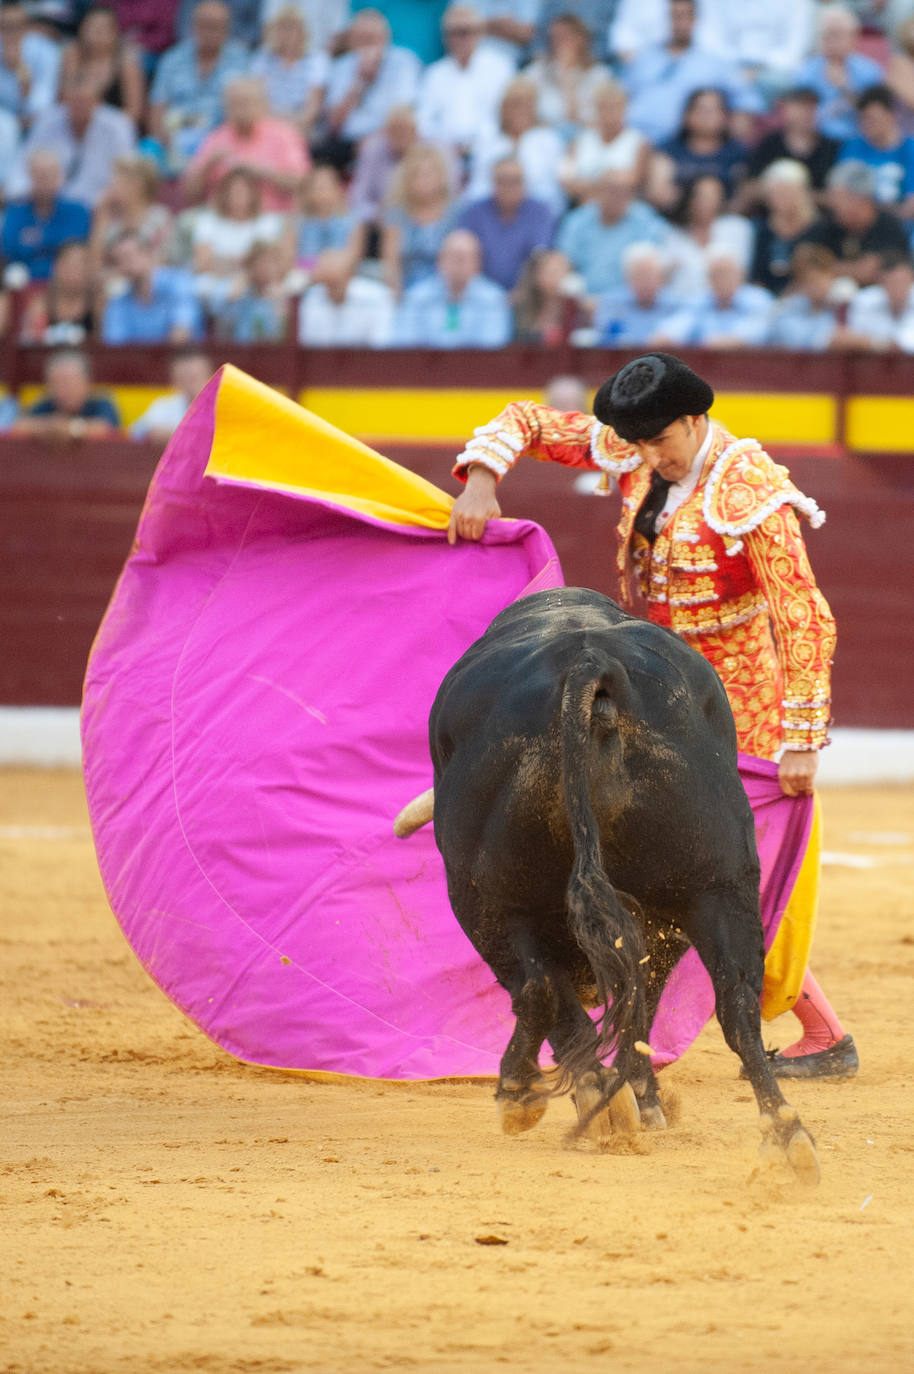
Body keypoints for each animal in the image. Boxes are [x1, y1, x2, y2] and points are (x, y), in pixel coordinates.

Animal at [395, 588, 813, 1181]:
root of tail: (588, 662)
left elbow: (562, 996)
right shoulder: (665, 921)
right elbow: (643, 999)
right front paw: (643, 1098)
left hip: (479, 894)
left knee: (538, 987)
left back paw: (543, 1094)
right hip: (720, 881)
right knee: (737, 1000)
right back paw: (787, 1135)